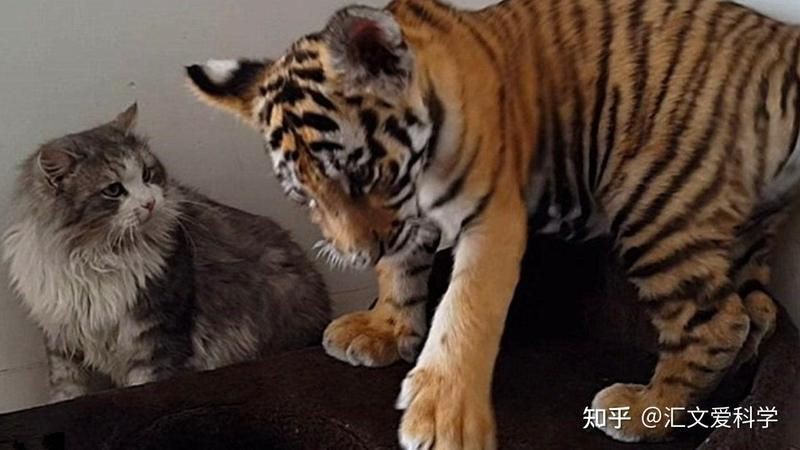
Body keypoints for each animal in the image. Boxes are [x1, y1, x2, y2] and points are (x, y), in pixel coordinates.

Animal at [185, 0, 799, 446]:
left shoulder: (490, 217)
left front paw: (442, 418)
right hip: (738, 224)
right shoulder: (409, 222)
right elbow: (401, 273)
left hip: (654, 195)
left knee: (719, 322)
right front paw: (385, 329)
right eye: (305, 196)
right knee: (758, 311)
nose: (359, 254)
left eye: (360, 174)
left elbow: (464, 311)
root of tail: (780, 43)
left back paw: (645, 409)